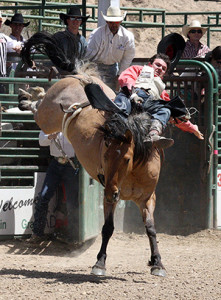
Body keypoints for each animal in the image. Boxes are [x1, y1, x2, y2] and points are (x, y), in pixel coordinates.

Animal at [19, 31, 167, 276]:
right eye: (105, 156)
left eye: (127, 158)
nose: (112, 192)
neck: (132, 172)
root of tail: (80, 76)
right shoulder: (110, 194)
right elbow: (107, 228)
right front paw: (99, 263)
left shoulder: (147, 198)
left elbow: (151, 229)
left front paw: (157, 263)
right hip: (47, 115)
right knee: (38, 106)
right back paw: (27, 96)